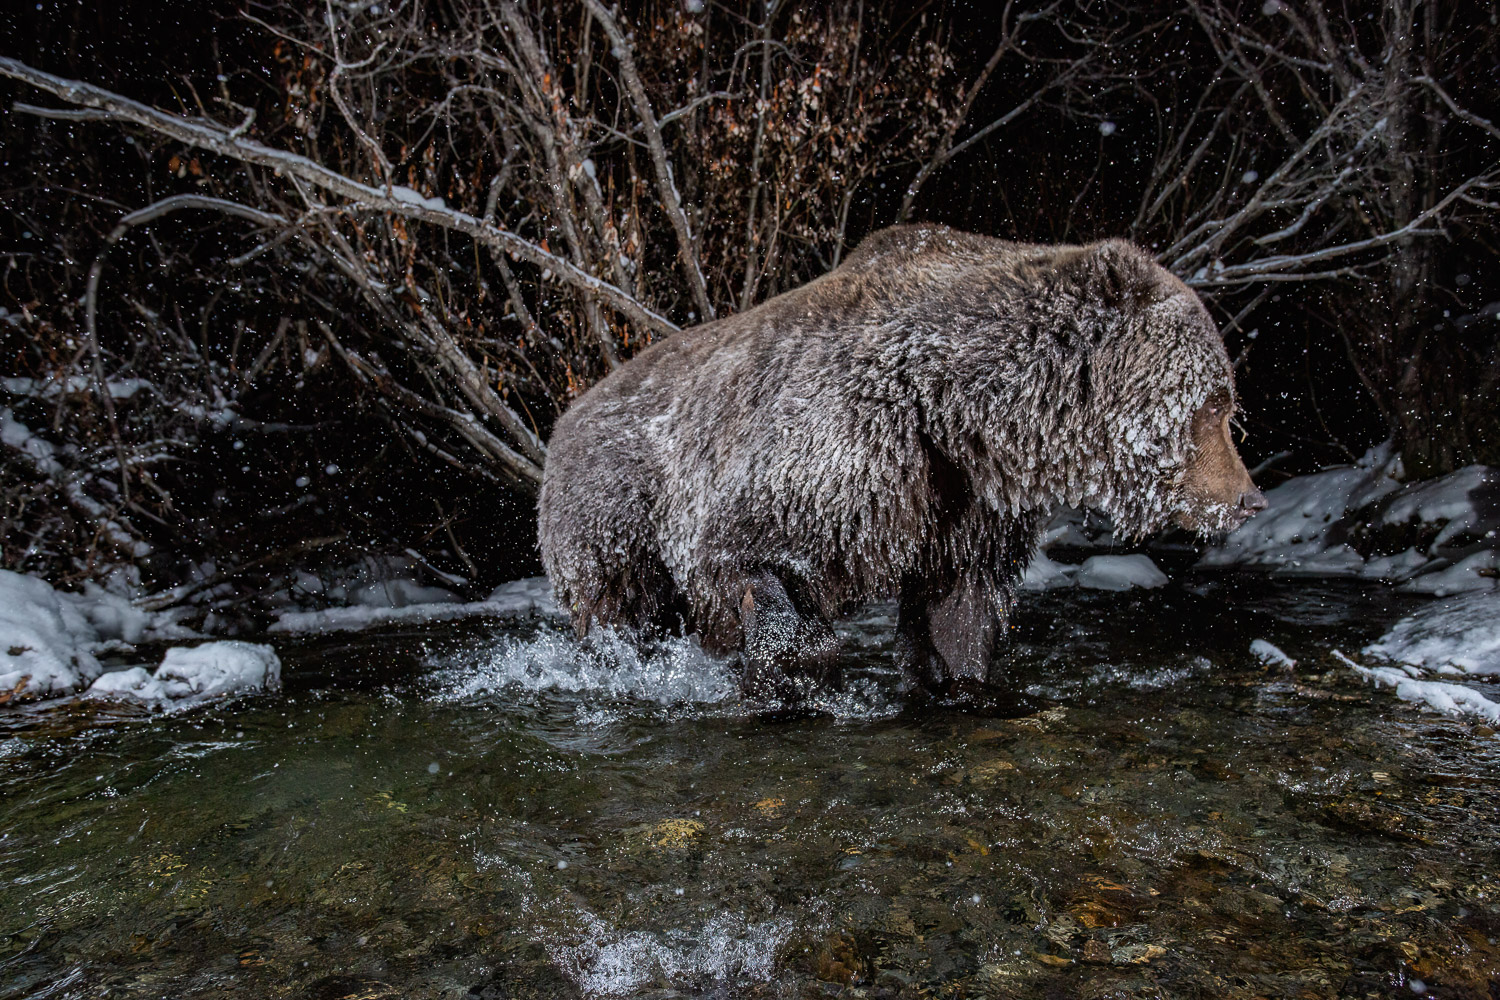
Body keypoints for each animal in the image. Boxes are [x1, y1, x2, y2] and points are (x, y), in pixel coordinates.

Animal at [540, 224, 1266, 695]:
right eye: (1215, 402)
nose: (1249, 498)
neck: (955, 411)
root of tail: (565, 417)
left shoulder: (964, 506)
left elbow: (958, 612)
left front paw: (959, 680)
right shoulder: (823, 456)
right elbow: (746, 556)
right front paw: (793, 661)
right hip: (611, 519)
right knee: (622, 612)